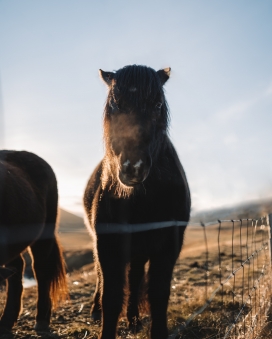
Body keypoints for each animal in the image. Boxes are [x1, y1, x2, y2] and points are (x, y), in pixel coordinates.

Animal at [84, 65, 190, 339]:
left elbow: (158, 295)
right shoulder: (108, 245)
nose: (134, 167)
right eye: (114, 104)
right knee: (101, 277)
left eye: (157, 104)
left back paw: (133, 319)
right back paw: (96, 310)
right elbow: (111, 297)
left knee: (133, 279)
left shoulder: (168, 246)